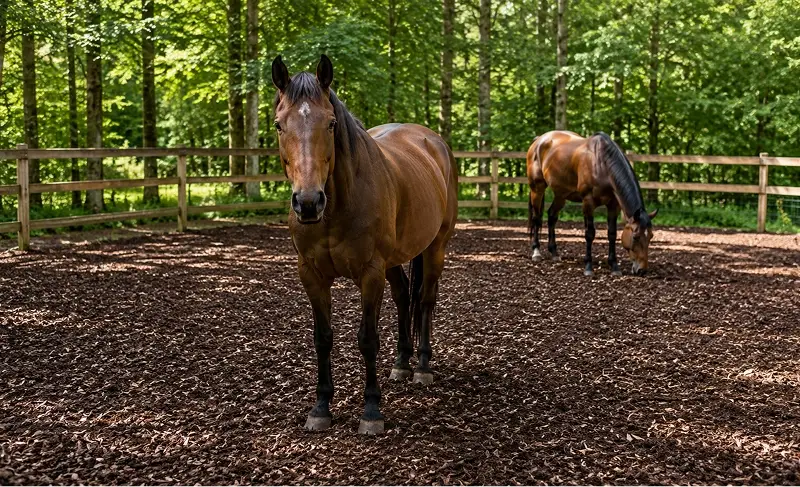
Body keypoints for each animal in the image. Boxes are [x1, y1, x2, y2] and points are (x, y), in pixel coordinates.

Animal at [271, 55, 458, 435]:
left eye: (330, 124)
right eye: (279, 125)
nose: (308, 203)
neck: (336, 208)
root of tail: (434, 142)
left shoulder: (370, 274)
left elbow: (368, 339)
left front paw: (372, 410)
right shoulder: (311, 276)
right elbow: (322, 338)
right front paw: (321, 407)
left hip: (435, 248)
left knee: (425, 300)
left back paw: (422, 367)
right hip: (395, 261)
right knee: (404, 297)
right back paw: (402, 362)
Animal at [526, 130, 658, 276]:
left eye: (650, 236)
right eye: (635, 237)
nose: (642, 270)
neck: (601, 164)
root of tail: (539, 140)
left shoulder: (613, 205)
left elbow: (612, 234)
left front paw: (614, 266)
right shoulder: (588, 203)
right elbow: (590, 233)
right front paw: (588, 266)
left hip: (561, 194)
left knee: (551, 216)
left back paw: (554, 253)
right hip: (537, 189)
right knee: (537, 218)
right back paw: (536, 252)